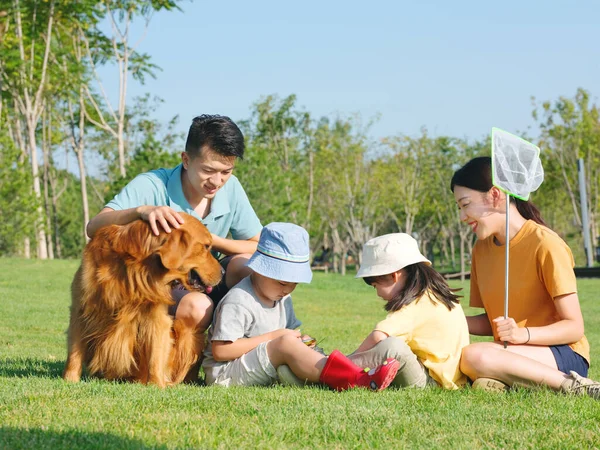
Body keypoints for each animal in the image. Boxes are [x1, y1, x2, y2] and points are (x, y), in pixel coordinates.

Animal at [62, 214, 223, 386]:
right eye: (206, 246)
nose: (223, 271)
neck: (138, 268)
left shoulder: (157, 316)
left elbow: (156, 354)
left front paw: (156, 384)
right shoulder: (80, 309)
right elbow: (74, 352)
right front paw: (69, 379)